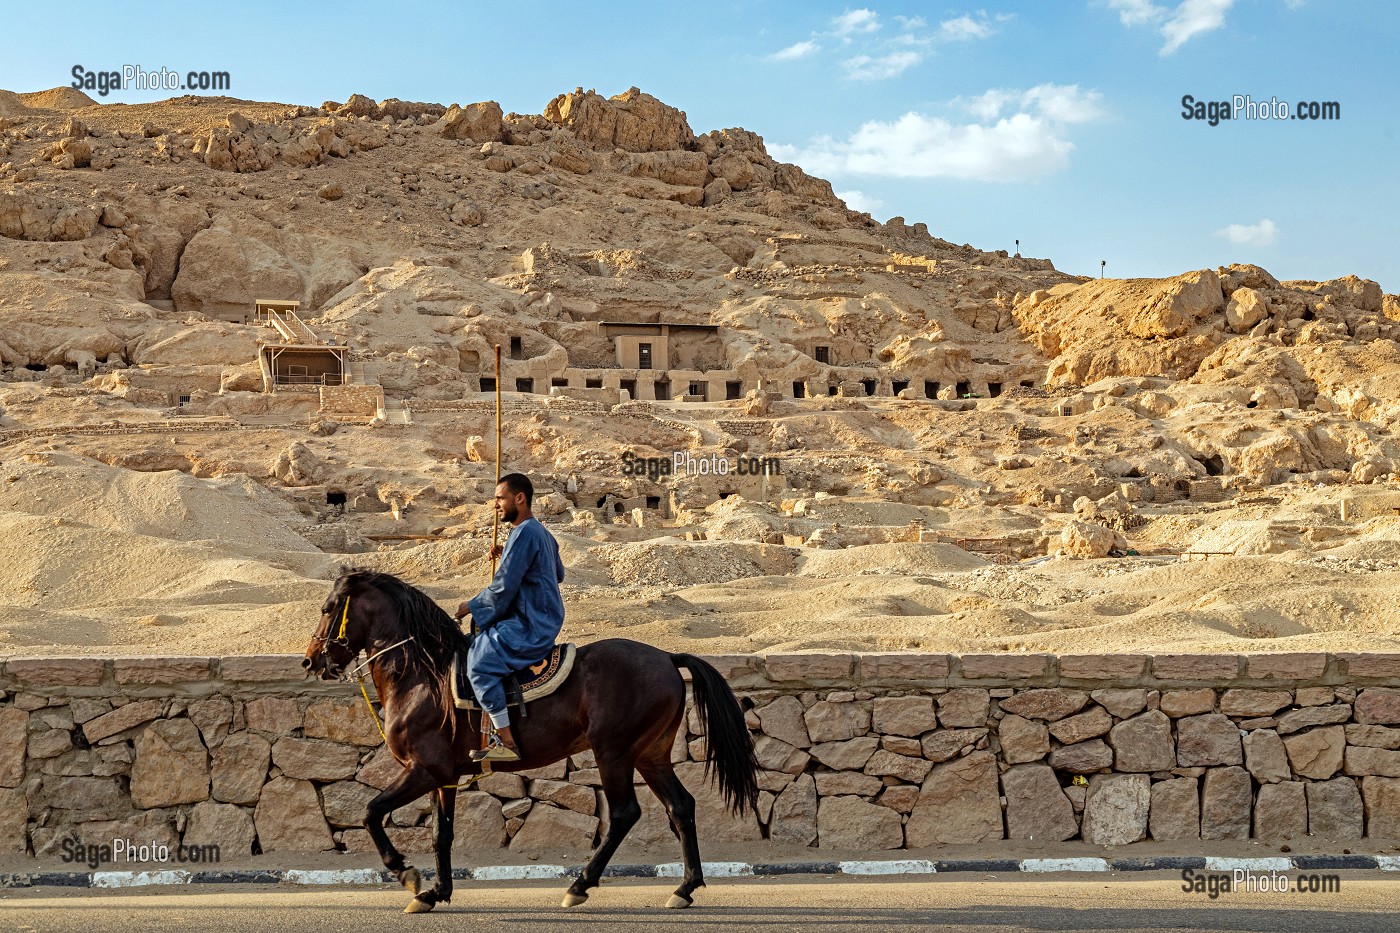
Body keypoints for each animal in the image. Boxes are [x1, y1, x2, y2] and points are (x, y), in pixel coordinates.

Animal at [302, 563, 761, 913]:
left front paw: (406, 873)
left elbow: (370, 812)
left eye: (328, 608)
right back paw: (685, 887)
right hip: (651, 755)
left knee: (625, 813)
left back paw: (580, 885)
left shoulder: (424, 771)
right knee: (681, 806)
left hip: (614, 753)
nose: (310, 661)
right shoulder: (444, 777)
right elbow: (440, 834)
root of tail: (667, 656)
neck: (421, 677)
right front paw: (436, 892)